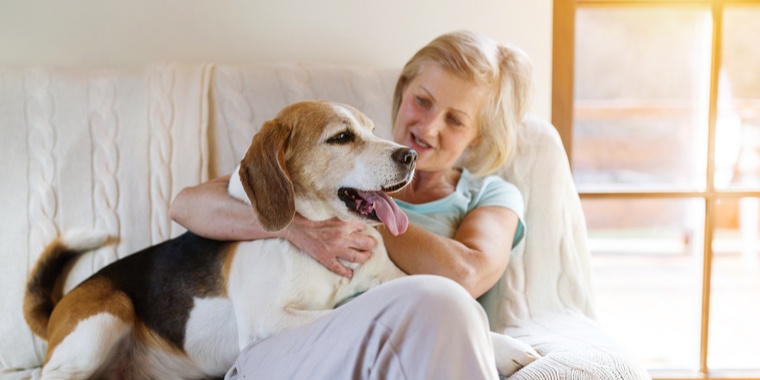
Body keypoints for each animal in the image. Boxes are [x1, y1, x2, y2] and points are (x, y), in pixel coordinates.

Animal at [23, 99, 540, 378]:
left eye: (374, 129)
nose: (409, 155)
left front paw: (506, 348)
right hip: (105, 317)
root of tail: (60, 308)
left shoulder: (389, 279)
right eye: (342, 137)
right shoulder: (268, 319)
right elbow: (346, 309)